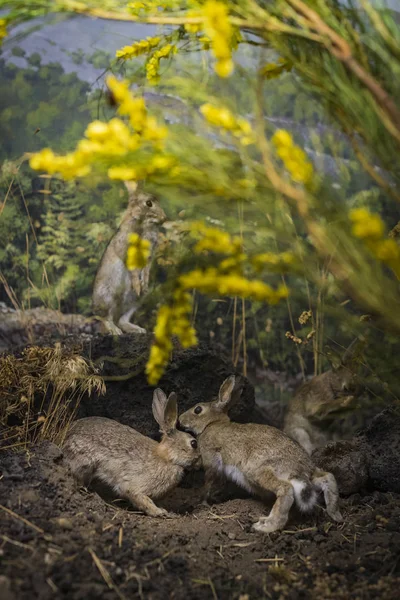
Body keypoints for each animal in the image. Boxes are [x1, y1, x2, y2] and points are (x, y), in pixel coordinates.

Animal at [63, 390, 202, 516]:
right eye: (193, 443)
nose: (200, 462)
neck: (166, 458)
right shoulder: (134, 487)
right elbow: (141, 499)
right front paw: (159, 512)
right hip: (85, 463)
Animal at [92, 180, 166, 336]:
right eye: (149, 203)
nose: (164, 218)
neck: (143, 223)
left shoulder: (149, 256)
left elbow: (146, 269)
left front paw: (144, 284)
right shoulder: (127, 251)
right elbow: (133, 270)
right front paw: (137, 285)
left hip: (135, 302)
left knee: (122, 319)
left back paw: (138, 329)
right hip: (107, 296)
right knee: (105, 318)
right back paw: (115, 331)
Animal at [180, 376, 342, 536]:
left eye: (198, 409)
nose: (180, 420)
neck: (211, 424)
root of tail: (301, 470)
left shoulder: (211, 460)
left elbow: (209, 482)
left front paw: (202, 502)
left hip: (258, 472)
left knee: (285, 490)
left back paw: (265, 526)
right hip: (310, 476)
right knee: (328, 477)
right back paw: (335, 514)